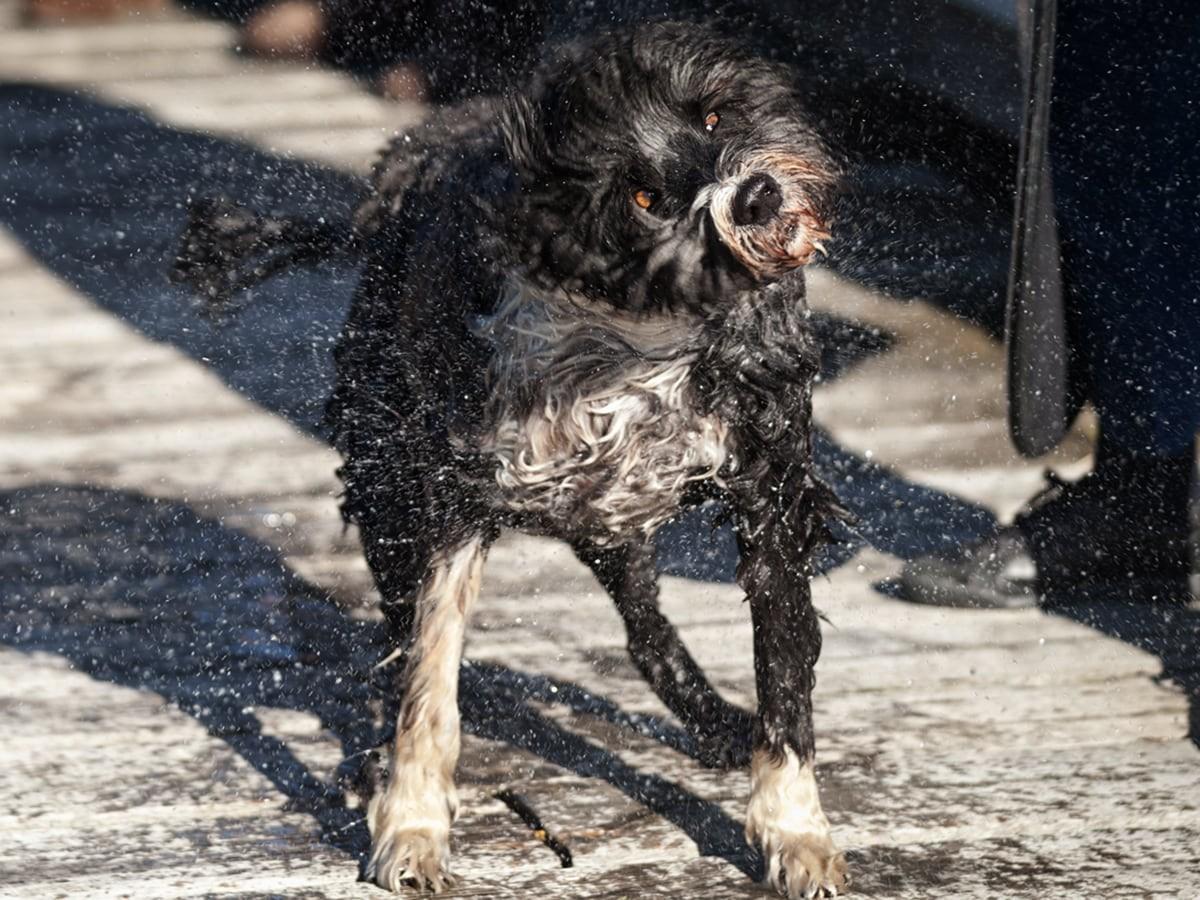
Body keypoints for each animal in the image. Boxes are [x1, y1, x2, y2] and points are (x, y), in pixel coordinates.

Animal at [175, 22, 854, 900]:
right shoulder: (452, 506)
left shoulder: (771, 493)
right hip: (388, 480)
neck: (636, 340)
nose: (757, 196)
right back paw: (372, 762)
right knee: (397, 637)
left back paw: (711, 719)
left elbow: (785, 675)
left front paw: (795, 830)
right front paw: (411, 825)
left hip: (610, 518)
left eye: (710, 118)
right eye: (643, 198)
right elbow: (427, 677)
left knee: (644, 629)